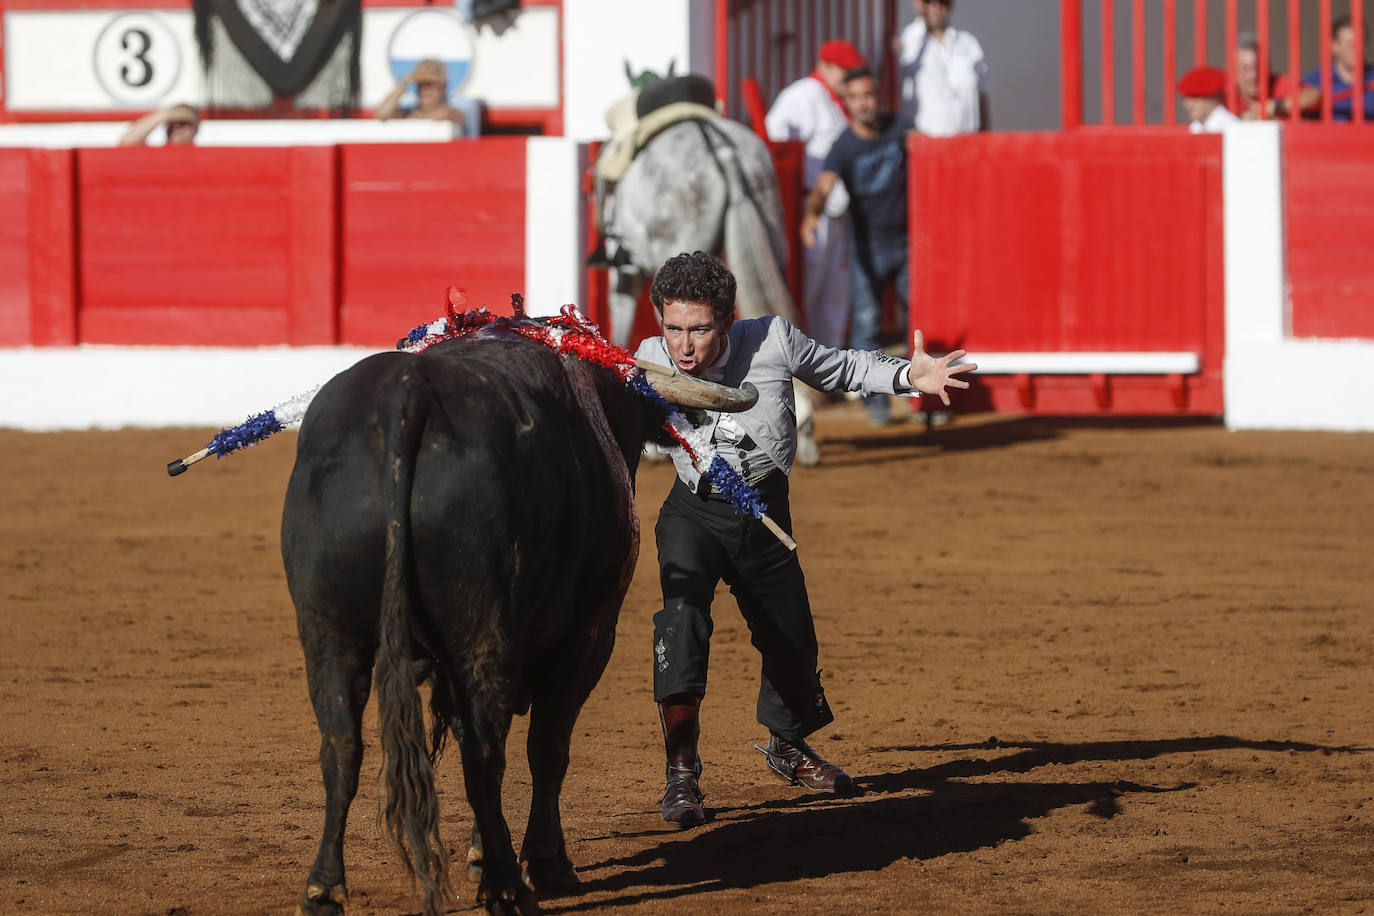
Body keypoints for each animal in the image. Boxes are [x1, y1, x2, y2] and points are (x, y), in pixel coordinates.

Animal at [278, 330, 752, 916]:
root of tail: (407, 394)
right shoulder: (590, 632)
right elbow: (548, 745)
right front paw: (545, 862)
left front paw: (486, 849)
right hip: (486, 628)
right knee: (486, 751)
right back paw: (508, 888)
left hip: (326, 631)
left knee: (342, 744)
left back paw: (323, 888)